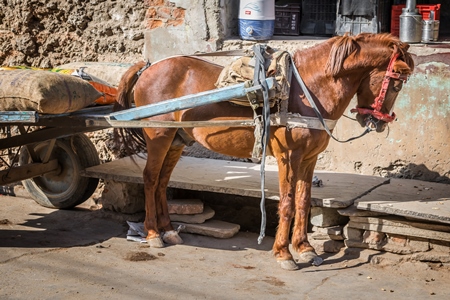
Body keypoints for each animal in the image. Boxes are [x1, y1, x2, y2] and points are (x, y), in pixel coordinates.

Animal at [114, 32, 414, 270]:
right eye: (397, 82)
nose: (377, 122)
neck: (309, 89)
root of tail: (147, 68)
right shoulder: (288, 157)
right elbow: (287, 203)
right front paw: (284, 253)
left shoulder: (309, 159)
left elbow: (304, 201)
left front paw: (304, 248)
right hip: (158, 136)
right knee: (150, 179)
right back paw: (153, 234)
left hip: (176, 140)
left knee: (162, 181)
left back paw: (168, 230)